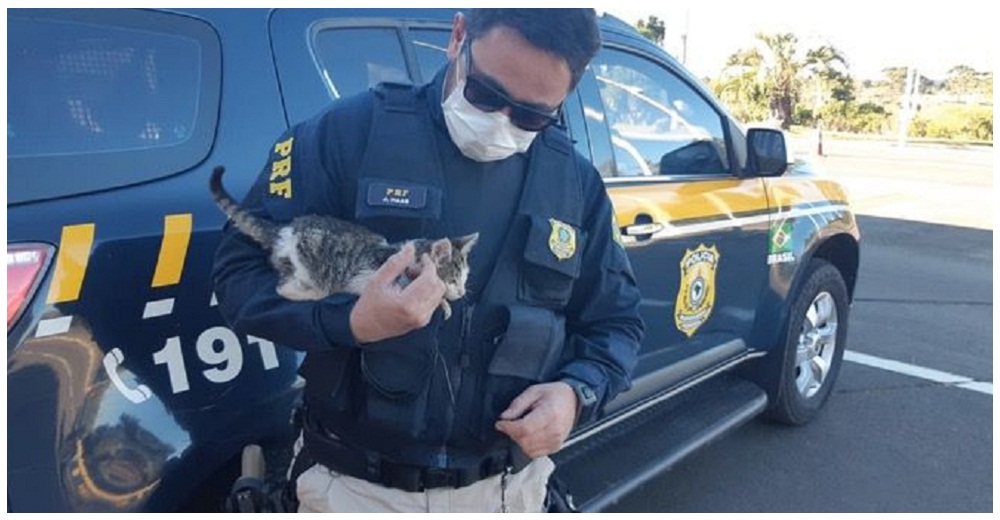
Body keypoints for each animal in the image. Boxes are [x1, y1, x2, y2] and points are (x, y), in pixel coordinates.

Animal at [210, 167, 476, 320]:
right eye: (453, 279)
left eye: (464, 279)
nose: (463, 292)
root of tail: (285, 229)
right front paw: (441, 301)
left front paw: (444, 303)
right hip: (310, 260)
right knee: (285, 288)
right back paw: (314, 294)